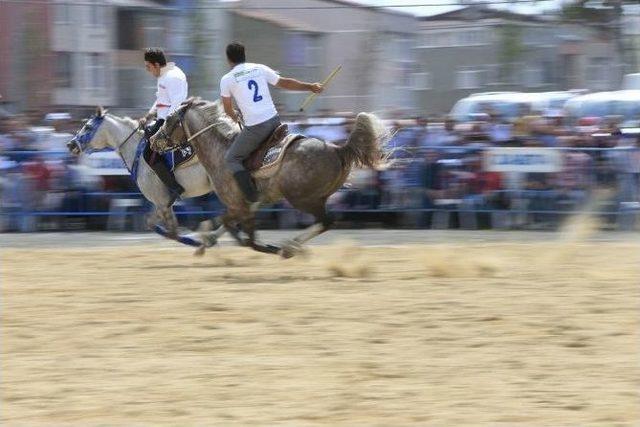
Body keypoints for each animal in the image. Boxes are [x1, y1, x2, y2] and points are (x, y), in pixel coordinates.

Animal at [67, 107, 222, 252]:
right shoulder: (163, 204)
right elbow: (163, 229)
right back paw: (211, 237)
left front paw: (197, 240)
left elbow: (169, 231)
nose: (71, 144)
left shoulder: (162, 202)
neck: (138, 154)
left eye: (88, 126)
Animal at [150, 98, 390, 258]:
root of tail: (338, 149)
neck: (220, 149)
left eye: (169, 119)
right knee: (326, 221)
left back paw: (289, 246)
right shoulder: (250, 204)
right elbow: (229, 226)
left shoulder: (238, 204)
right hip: (314, 198)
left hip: (302, 198)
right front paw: (206, 241)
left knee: (326, 221)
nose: (153, 140)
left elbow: (239, 232)